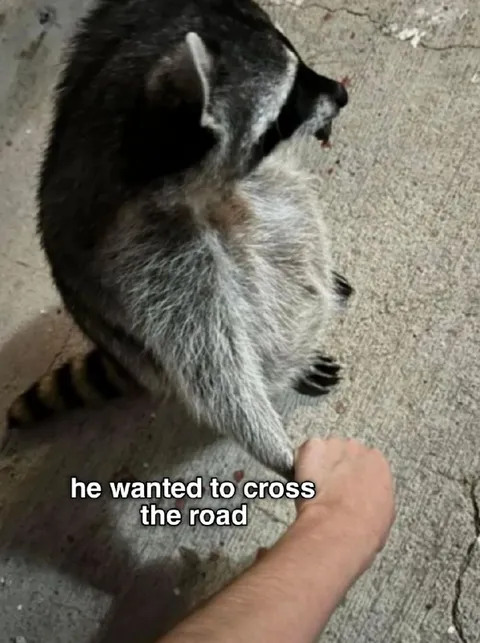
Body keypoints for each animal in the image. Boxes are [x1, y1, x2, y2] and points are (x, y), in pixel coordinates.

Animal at [3, 0, 352, 480]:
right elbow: (208, 359)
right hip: (140, 346)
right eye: (287, 104)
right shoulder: (145, 252)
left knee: (287, 201)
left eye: (300, 63)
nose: (341, 95)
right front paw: (278, 448)